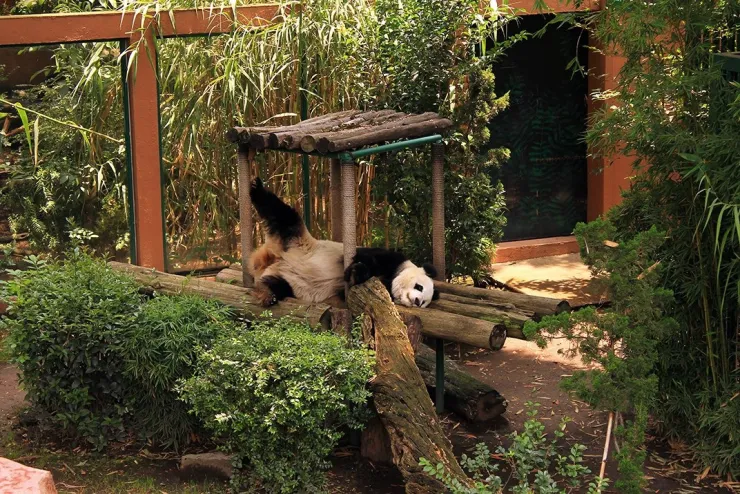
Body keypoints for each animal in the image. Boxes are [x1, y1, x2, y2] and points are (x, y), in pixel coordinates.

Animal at [248, 177, 440, 308]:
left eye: (425, 302)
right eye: (419, 287)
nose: (417, 301)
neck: (393, 276)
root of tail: (272, 260)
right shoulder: (391, 257)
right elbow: (364, 257)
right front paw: (356, 271)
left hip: (291, 282)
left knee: (277, 285)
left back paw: (266, 293)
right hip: (297, 240)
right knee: (283, 214)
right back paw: (256, 188)